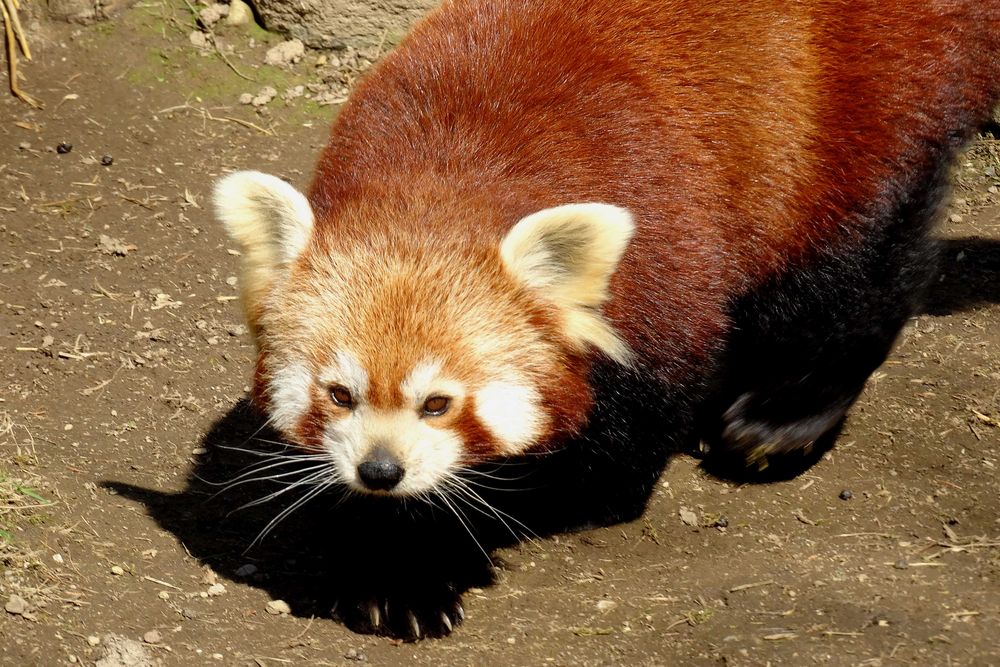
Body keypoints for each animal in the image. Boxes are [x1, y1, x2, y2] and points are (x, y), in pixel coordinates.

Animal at [211, 0, 1000, 640]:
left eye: (440, 403)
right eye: (339, 394)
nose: (381, 471)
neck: (440, 175)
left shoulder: (665, 282)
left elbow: (597, 467)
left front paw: (422, 549)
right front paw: (383, 553)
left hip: (852, 115)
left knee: (856, 266)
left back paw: (786, 415)